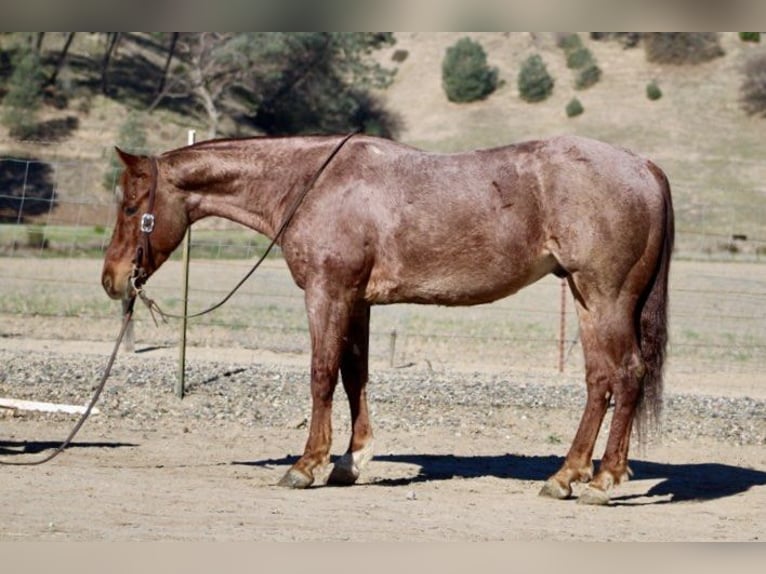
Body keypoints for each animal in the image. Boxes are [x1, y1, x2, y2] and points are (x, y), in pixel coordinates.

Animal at [101, 133, 674, 505]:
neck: (314, 184)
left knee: (626, 374)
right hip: (585, 298)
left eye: (130, 208)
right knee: (600, 380)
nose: (111, 279)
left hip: (605, 295)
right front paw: (350, 462)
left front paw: (306, 466)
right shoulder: (357, 302)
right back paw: (568, 475)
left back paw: (602, 481)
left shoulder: (328, 294)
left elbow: (321, 375)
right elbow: (354, 376)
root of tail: (645, 166)